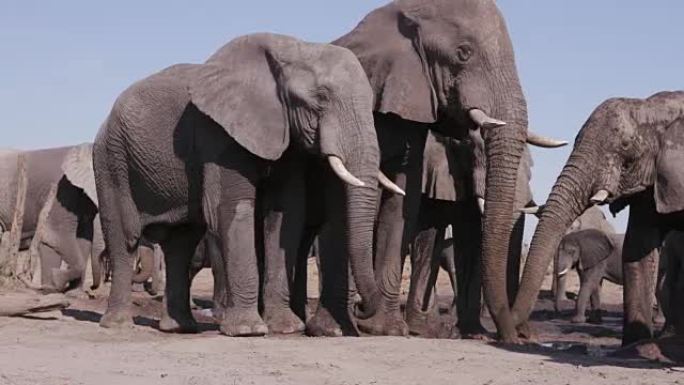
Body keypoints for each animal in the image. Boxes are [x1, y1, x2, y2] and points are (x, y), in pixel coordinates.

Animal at [95, 31, 396, 334]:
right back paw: (119, 324)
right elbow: (229, 210)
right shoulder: (218, 134)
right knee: (125, 238)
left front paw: (286, 328)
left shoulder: (285, 138)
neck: (294, 49)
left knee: (181, 243)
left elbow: (286, 215)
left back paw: (181, 327)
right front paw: (248, 330)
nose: (360, 308)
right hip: (112, 159)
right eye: (320, 98)